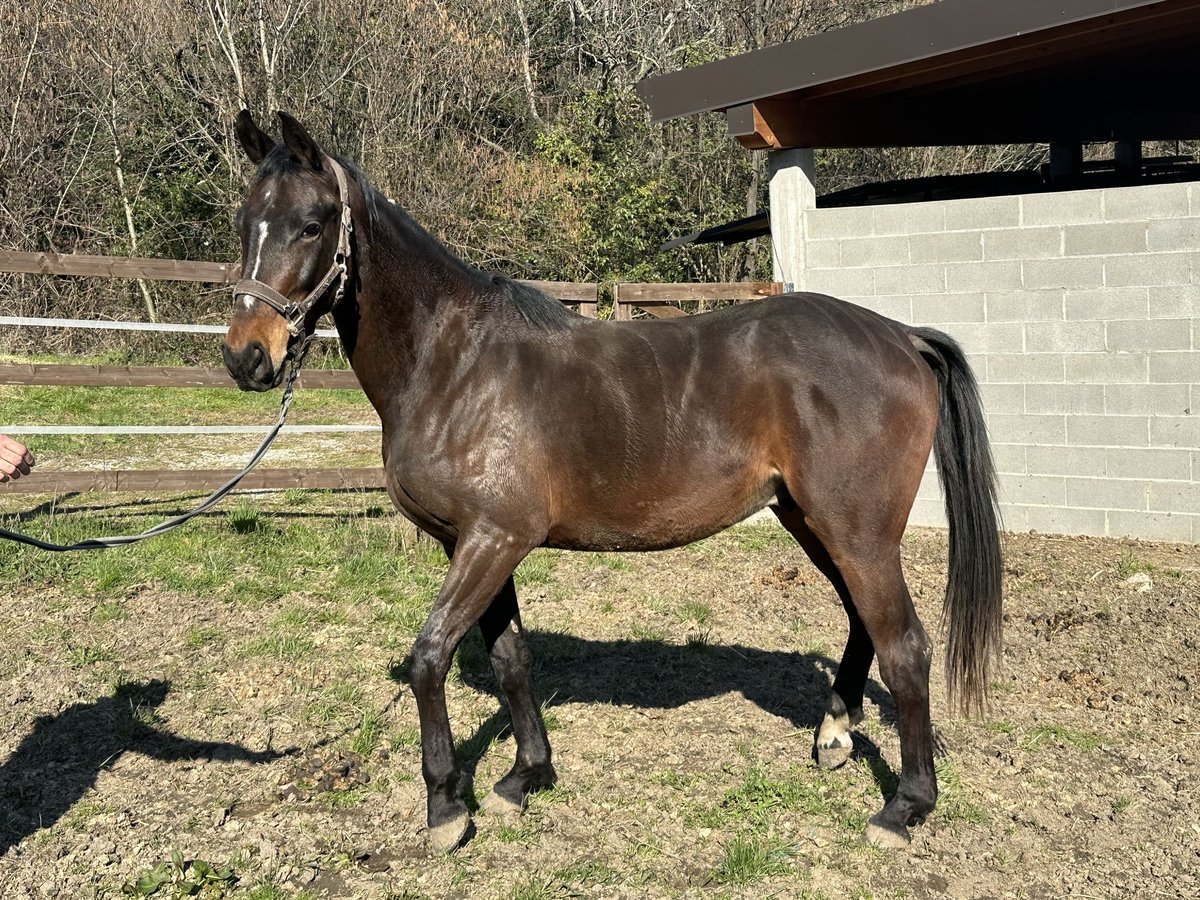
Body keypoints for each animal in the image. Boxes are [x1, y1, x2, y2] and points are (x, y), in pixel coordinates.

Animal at [223, 111, 1003, 854]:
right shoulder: (477, 544)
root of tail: (902, 335)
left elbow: (429, 658)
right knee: (862, 623)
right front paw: (525, 776)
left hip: (856, 532)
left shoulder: (492, 539)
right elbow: (510, 657)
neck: (456, 365)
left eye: (312, 224)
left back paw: (904, 807)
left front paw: (446, 807)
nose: (245, 358)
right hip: (814, 522)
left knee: (905, 647)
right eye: (243, 220)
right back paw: (834, 736)